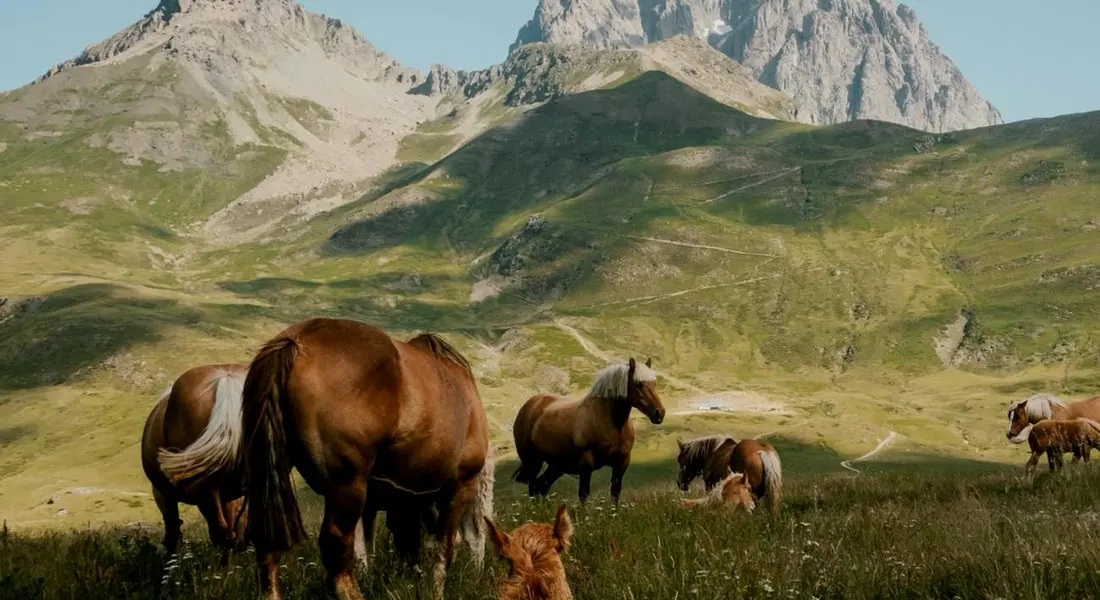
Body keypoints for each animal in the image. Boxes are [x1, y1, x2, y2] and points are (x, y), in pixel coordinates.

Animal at [236, 317, 492, 600]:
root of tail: (296, 340)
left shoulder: (403, 498)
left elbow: (398, 544)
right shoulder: (461, 484)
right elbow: (443, 545)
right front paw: (435, 589)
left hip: (272, 474)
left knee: (267, 542)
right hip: (347, 485)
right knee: (335, 544)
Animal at [511, 358, 666, 504]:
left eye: (654, 383)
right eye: (638, 384)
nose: (659, 413)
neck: (611, 424)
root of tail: (530, 405)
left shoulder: (621, 462)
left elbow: (615, 493)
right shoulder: (586, 464)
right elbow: (583, 494)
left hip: (557, 466)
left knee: (541, 487)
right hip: (533, 462)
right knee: (533, 487)